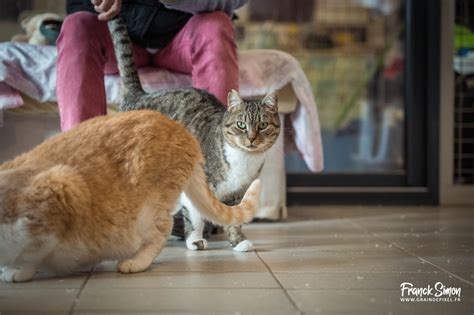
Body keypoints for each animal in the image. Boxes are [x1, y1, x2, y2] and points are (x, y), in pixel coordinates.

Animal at [0, 111, 260, 284]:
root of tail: (182, 130)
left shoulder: (62, 191)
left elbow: (33, 251)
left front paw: (17, 270)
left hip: (145, 213)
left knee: (162, 230)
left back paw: (135, 262)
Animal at [109, 17, 280, 254]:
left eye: (263, 125)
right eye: (241, 125)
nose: (252, 138)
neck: (243, 160)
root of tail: (138, 95)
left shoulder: (239, 191)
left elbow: (235, 217)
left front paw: (237, 241)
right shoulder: (194, 184)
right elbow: (195, 216)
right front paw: (195, 240)